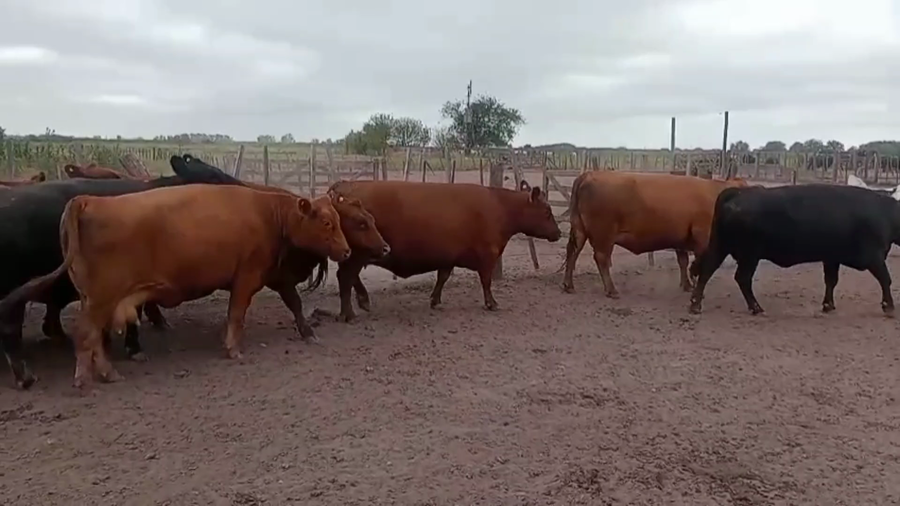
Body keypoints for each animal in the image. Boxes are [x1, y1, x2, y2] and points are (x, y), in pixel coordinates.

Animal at [0, 183, 352, 388]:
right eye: (327, 223)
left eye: (337, 220)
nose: (347, 251)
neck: (269, 214)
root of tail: (87, 201)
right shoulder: (247, 277)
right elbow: (236, 314)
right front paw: (233, 348)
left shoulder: (274, 276)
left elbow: (294, 303)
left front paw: (308, 332)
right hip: (101, 298)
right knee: (86, 334)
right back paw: (94, 375)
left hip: (94, 299)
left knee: (93, 336)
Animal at [326, 179, 561, 321]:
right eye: (547, 211)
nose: (559, 233)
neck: (500, 206)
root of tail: (344, 185)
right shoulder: (488, 256)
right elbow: (486, 281)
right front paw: (491, 303)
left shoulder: (448, 257)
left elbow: (443, 277)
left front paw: (435, 300)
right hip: (357, 254)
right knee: (345, 277)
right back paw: (349, 313)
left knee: (350, 277)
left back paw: (362, 301)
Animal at [562, 171, 748, 298]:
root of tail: (588, 174)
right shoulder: (702, 238)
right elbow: (699, 264)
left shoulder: (681, 239)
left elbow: (683, 262)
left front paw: (687, 285)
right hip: (604, 235)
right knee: (601, 258)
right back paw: (611, 290)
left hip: (580, 230)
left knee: (572, 253)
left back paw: (568, 285)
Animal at [688, 184, 900, 316]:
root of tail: (740, 192)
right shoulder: (874, 257)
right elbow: (885, 279)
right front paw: (888, 306)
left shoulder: (832, 257)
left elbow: (831, 281)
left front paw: (828, 305)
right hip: (749, 255)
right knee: (742, 278)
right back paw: (756, 308)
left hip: (722, 246)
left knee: (707, 270)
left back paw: (695, 304)